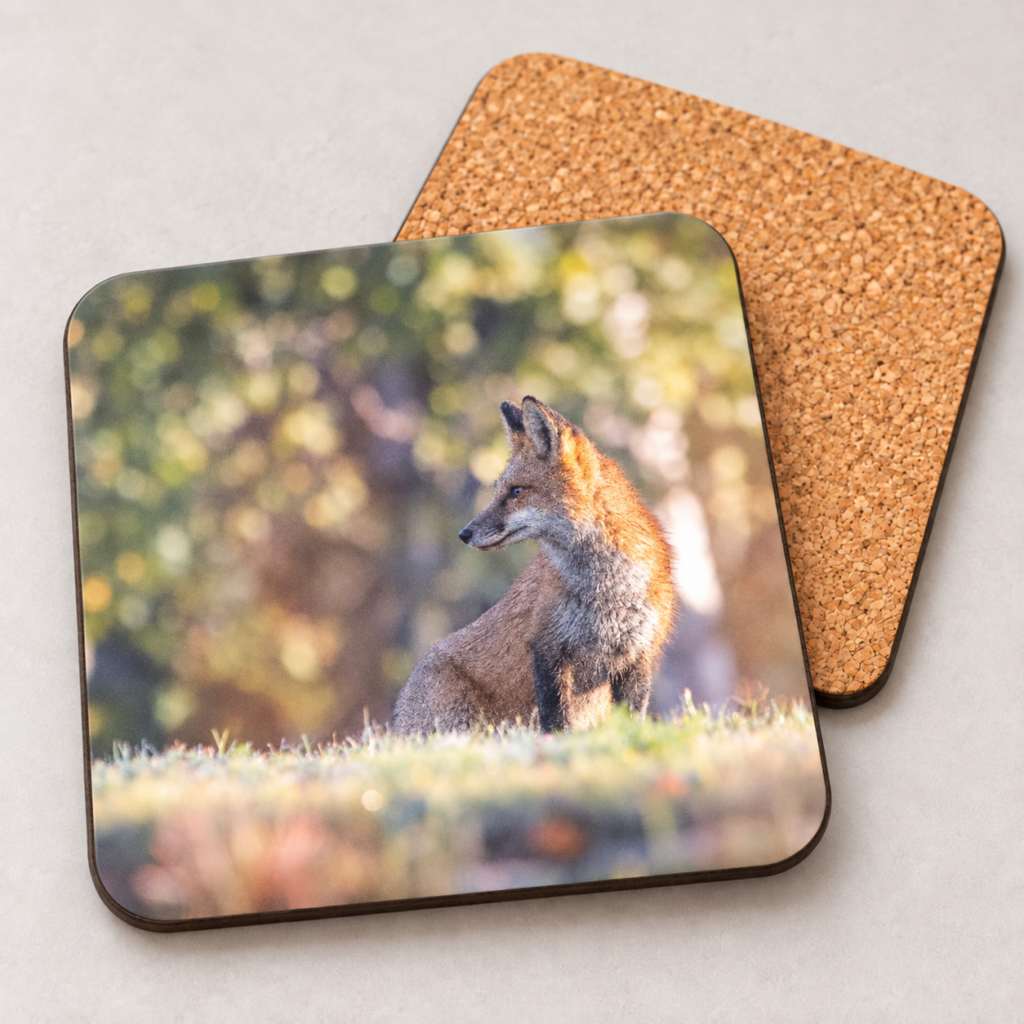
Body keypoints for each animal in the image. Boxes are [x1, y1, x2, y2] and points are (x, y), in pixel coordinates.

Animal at [392, 396, 675, 734]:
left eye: (516, 491)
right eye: (499, 490)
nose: (464, 534)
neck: (608, 590)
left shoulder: (639, 656)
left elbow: (629, 720)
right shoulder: (547, 648)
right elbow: (555, 721)